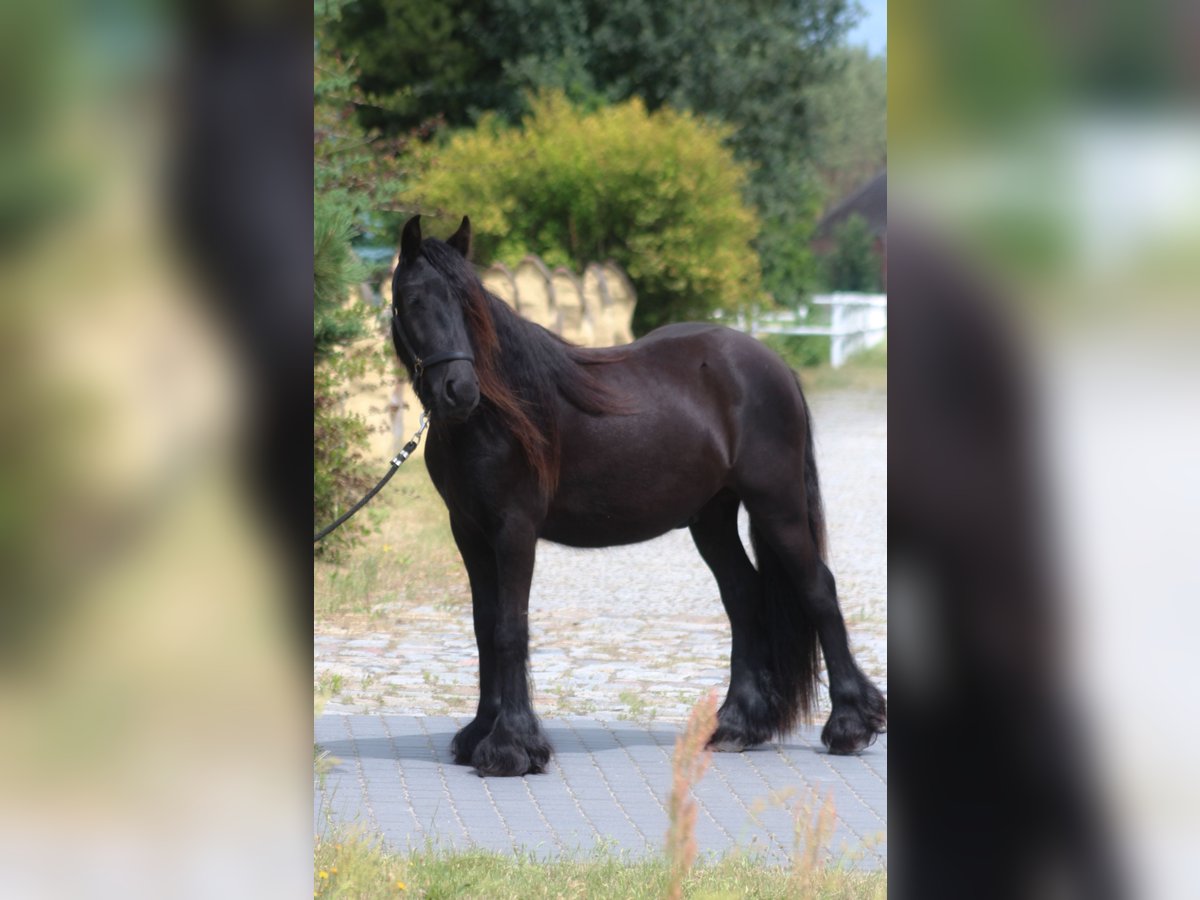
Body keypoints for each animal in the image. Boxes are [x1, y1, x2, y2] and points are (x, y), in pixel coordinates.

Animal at [390, 214, 886, 777]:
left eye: (468, 302)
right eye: (412, 299)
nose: (459, 391)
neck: (498, 414)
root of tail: (772, 364)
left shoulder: (514, 530)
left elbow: (509, 629)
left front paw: (512, 747)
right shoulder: (469, 531)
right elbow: (483, 625)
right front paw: (480, 734)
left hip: (775, 505)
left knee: (817, 589)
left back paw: (849, 725)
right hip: (712, 518)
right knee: (743, 595)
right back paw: (736, 726)